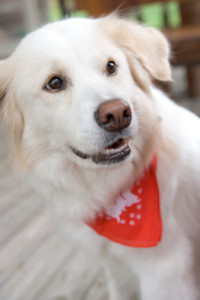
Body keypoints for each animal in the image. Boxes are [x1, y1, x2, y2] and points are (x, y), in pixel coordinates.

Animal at [0, 16, 200, 300]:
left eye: (111, 66)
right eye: (54, 83)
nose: (117, 114)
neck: (108, 188)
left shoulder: (165, 272)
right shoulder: (116, 268)